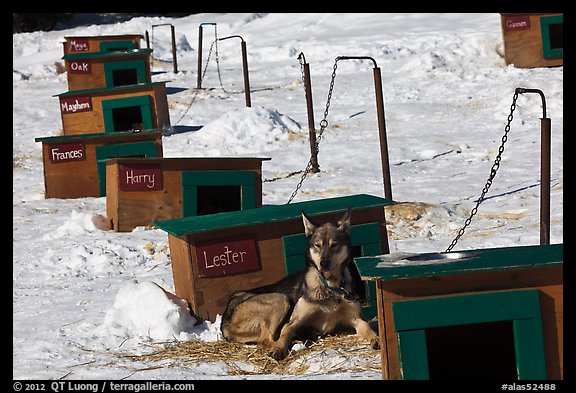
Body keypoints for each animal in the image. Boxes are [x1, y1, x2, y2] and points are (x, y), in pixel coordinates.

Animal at [219, 208, 378, 358]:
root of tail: (224, 322)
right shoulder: (293, 322)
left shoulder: (356, 318)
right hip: (280, 299)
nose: (323, 263)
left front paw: (376, 339)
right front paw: (280, 348)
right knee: (267, 339)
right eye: (317, 245)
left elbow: (368, 327)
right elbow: (285, 332)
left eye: (334, 245)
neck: (330, 286)